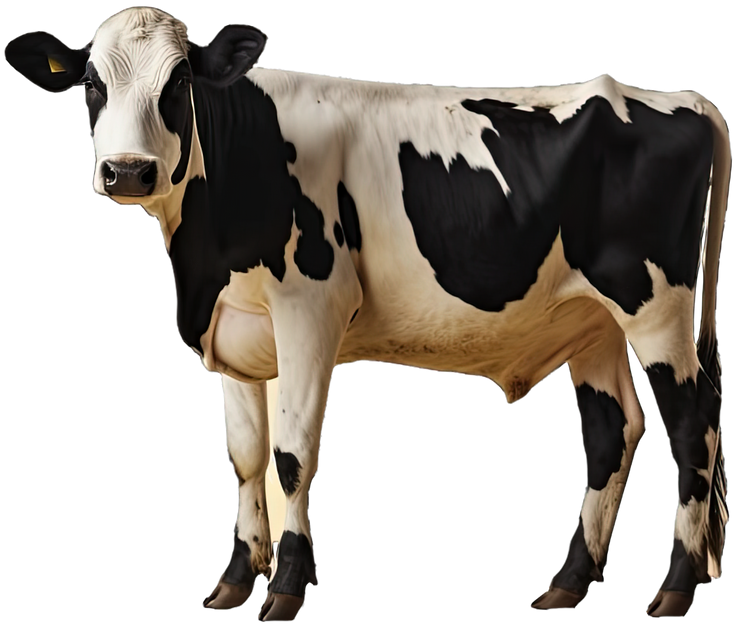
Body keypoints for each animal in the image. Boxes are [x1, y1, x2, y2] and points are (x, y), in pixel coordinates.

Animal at [5, 5, 730, 620]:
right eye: (91, 83)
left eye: (179, 78)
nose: (127, 171)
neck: (205, 254)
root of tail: (677, 99)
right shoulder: (238, 328)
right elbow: (246, 456)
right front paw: (236, 580)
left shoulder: (311, 307)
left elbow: (291, 454)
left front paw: (287, 586)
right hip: (592, 321)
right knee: (613, 432)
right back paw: (567, 584)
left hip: (656, 306)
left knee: (693, 424)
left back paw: (674, 588)